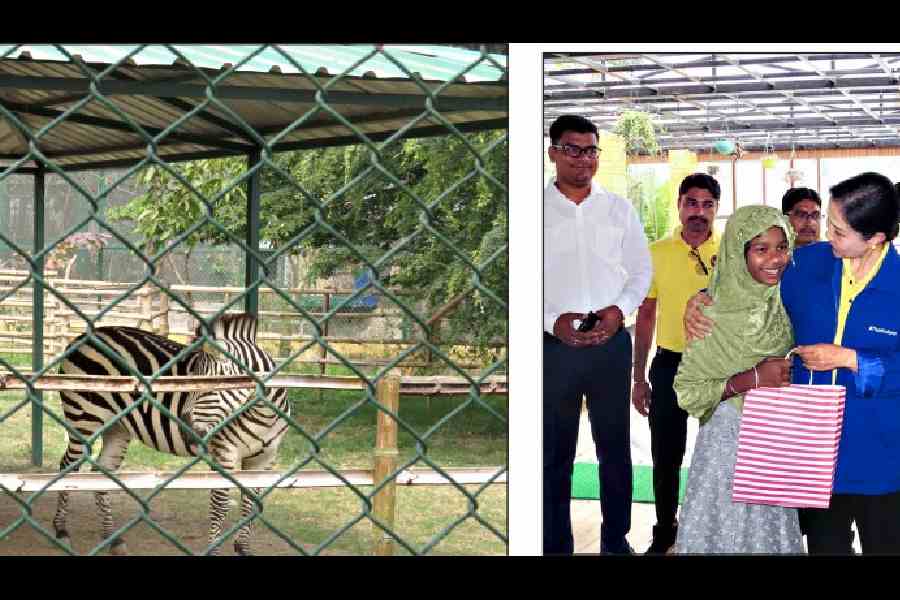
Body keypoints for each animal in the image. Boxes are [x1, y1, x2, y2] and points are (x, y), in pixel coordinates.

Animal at [51, 312, 288, 556]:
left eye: (211, 386)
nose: (185, 429)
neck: (263, 414)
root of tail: (83, 337)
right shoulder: (224, 452)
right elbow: (220, 504)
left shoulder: (265, 458)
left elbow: (252, 502)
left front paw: (243, 549)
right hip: (83, 418)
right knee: (67, 466)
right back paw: (61, 530)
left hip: (117, 428)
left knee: (102, 473)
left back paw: (113, 539)